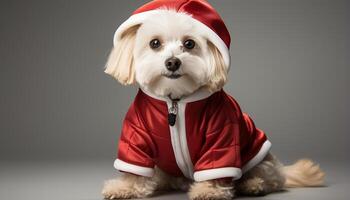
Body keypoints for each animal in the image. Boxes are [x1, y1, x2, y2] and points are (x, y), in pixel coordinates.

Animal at [102, 0, 326, 199]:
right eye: (154, 43)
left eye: (189, 44)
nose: (173, 62)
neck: (176, 100)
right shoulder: (135, 135)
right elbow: (134, 168)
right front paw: (125, 187)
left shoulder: (222, 135)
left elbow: (216, 167)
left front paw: (209, 190)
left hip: (259, 157)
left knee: (269, 178)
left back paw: (253, 184)